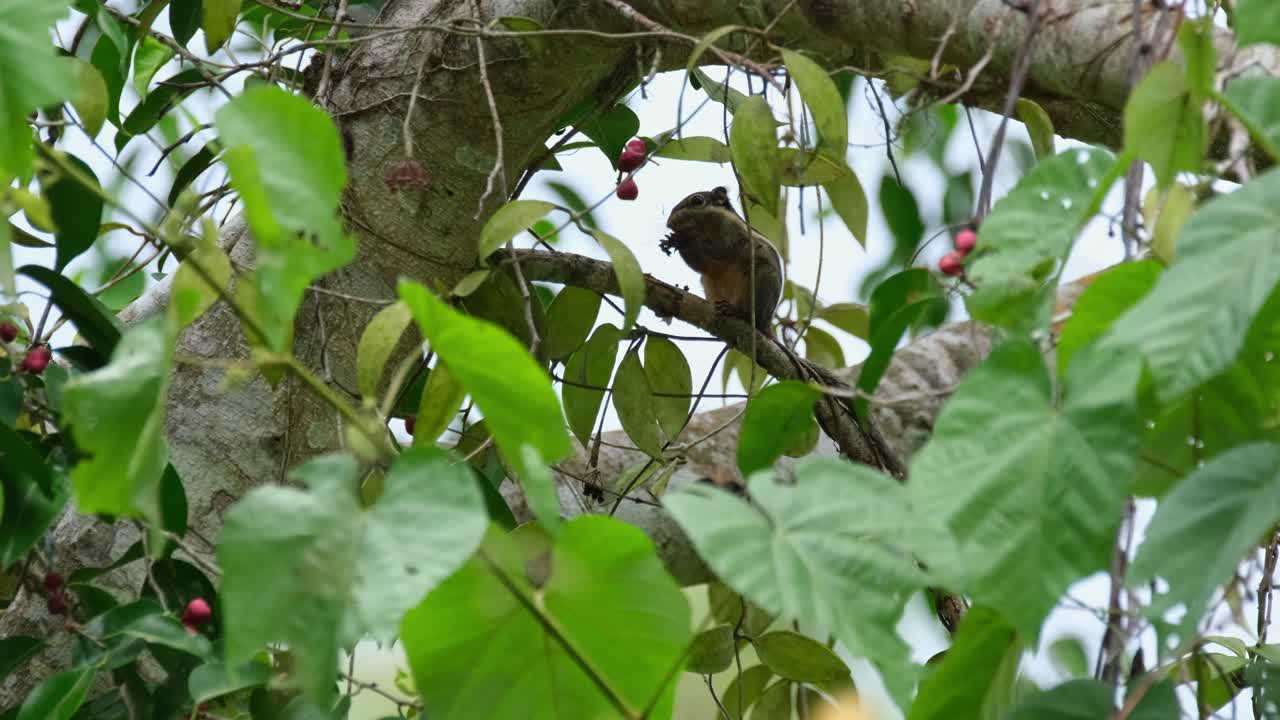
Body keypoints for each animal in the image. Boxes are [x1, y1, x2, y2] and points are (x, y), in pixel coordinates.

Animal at [659, 186, 783, 333]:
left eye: (697, 200)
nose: (669, 223)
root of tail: (766, 324)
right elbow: (701, 265)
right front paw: (671, 240)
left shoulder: (730, 237)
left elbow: (718, 251)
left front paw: (680, 240)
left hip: (763, 280)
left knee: (749, 316)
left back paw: (735, 310)